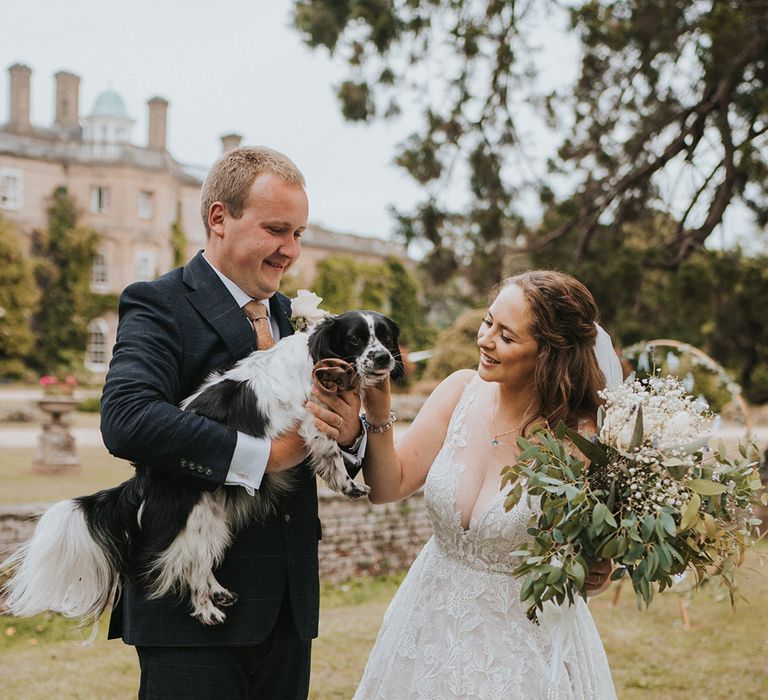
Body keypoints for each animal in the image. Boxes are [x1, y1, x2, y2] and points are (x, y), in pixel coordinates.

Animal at [1, 312, 402, 628]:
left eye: (385, 336)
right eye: (355, 339)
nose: (384, 359)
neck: (314, 355)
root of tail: (144, 477)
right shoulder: (314, 420)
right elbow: (331, 452)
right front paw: (348, 485)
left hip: (212, 516)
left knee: (198, 558)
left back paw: (218, 592)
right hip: (197, 515)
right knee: (188, 564)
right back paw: (207, 609)